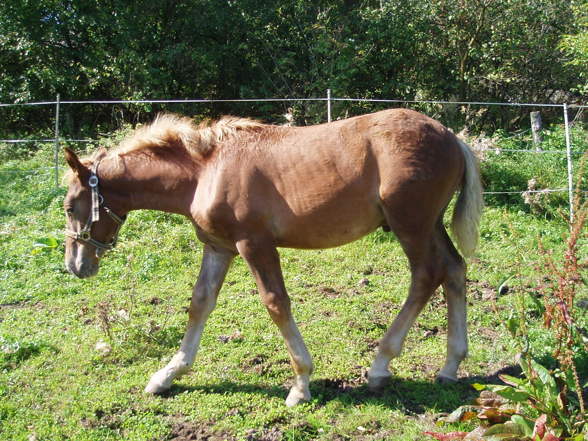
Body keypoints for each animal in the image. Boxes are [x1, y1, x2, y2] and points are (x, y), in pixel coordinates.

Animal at [63, 108, 482, 404]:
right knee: (454, 269)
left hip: (410, 225)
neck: (205, 172)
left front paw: (301, 383)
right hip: (430, 224)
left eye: (69, 206)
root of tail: (451, 137)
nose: (76, 265)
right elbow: (200, 303)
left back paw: (380, 366)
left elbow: (276, 303)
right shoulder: (218, 246)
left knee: (426, 275)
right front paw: (167, 374)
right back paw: (450, 365)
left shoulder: (254, 244)